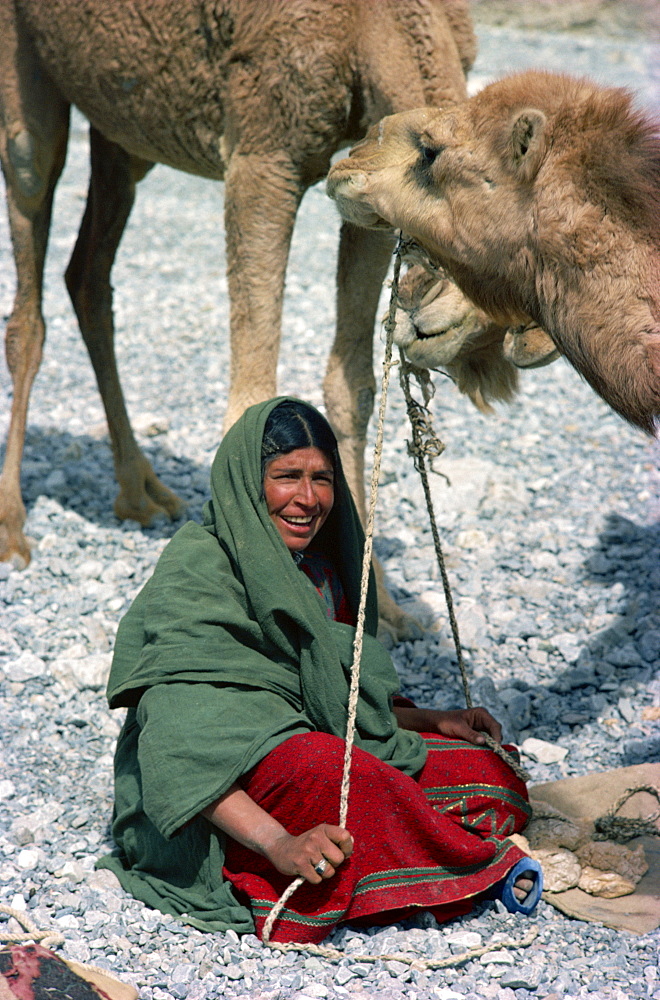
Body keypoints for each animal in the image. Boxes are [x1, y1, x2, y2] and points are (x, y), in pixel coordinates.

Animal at [0, 0, 476, 640]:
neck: (373, 25)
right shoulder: (263, 152)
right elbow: (253, 389)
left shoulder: (368, 187)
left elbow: (350, 387)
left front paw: (388, 612)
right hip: (26, 72)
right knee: (28, 271)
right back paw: (14, 531)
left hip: (122, 130)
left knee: (88, 276)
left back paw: (143, 494)